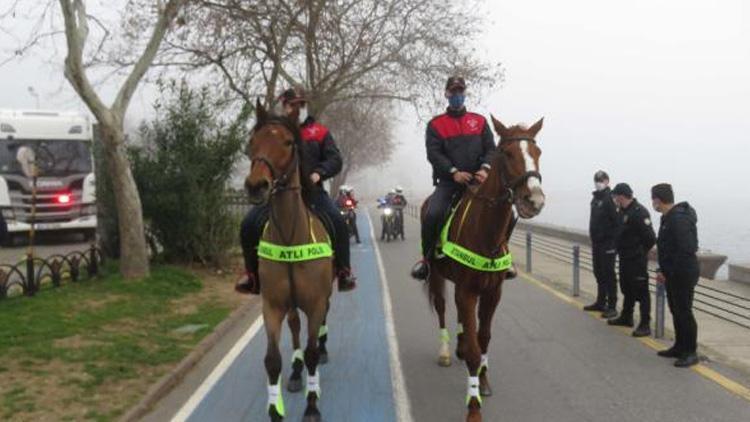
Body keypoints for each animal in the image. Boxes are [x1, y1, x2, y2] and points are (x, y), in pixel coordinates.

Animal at [245, 101, 334, 422]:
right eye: (252, 143)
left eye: (287, 142)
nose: (256, 186)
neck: (289, 237)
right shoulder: (271, 306)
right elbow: (272, 360)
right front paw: (275, 410)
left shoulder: (316, 301)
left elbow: (311, 351)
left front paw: (312, 406)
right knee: (295, 326)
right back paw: (295, 373)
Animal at [426, 116, 544, 422]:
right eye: (508, 153)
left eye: (537, 153)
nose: (534, 201)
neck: (485, 233)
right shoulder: (467, 291)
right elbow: (475, 349)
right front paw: (473, 406)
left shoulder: (492, 292)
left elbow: (484, 338)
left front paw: (483, 380)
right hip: (437, 276)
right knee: (442, 309)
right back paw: (446, 351)